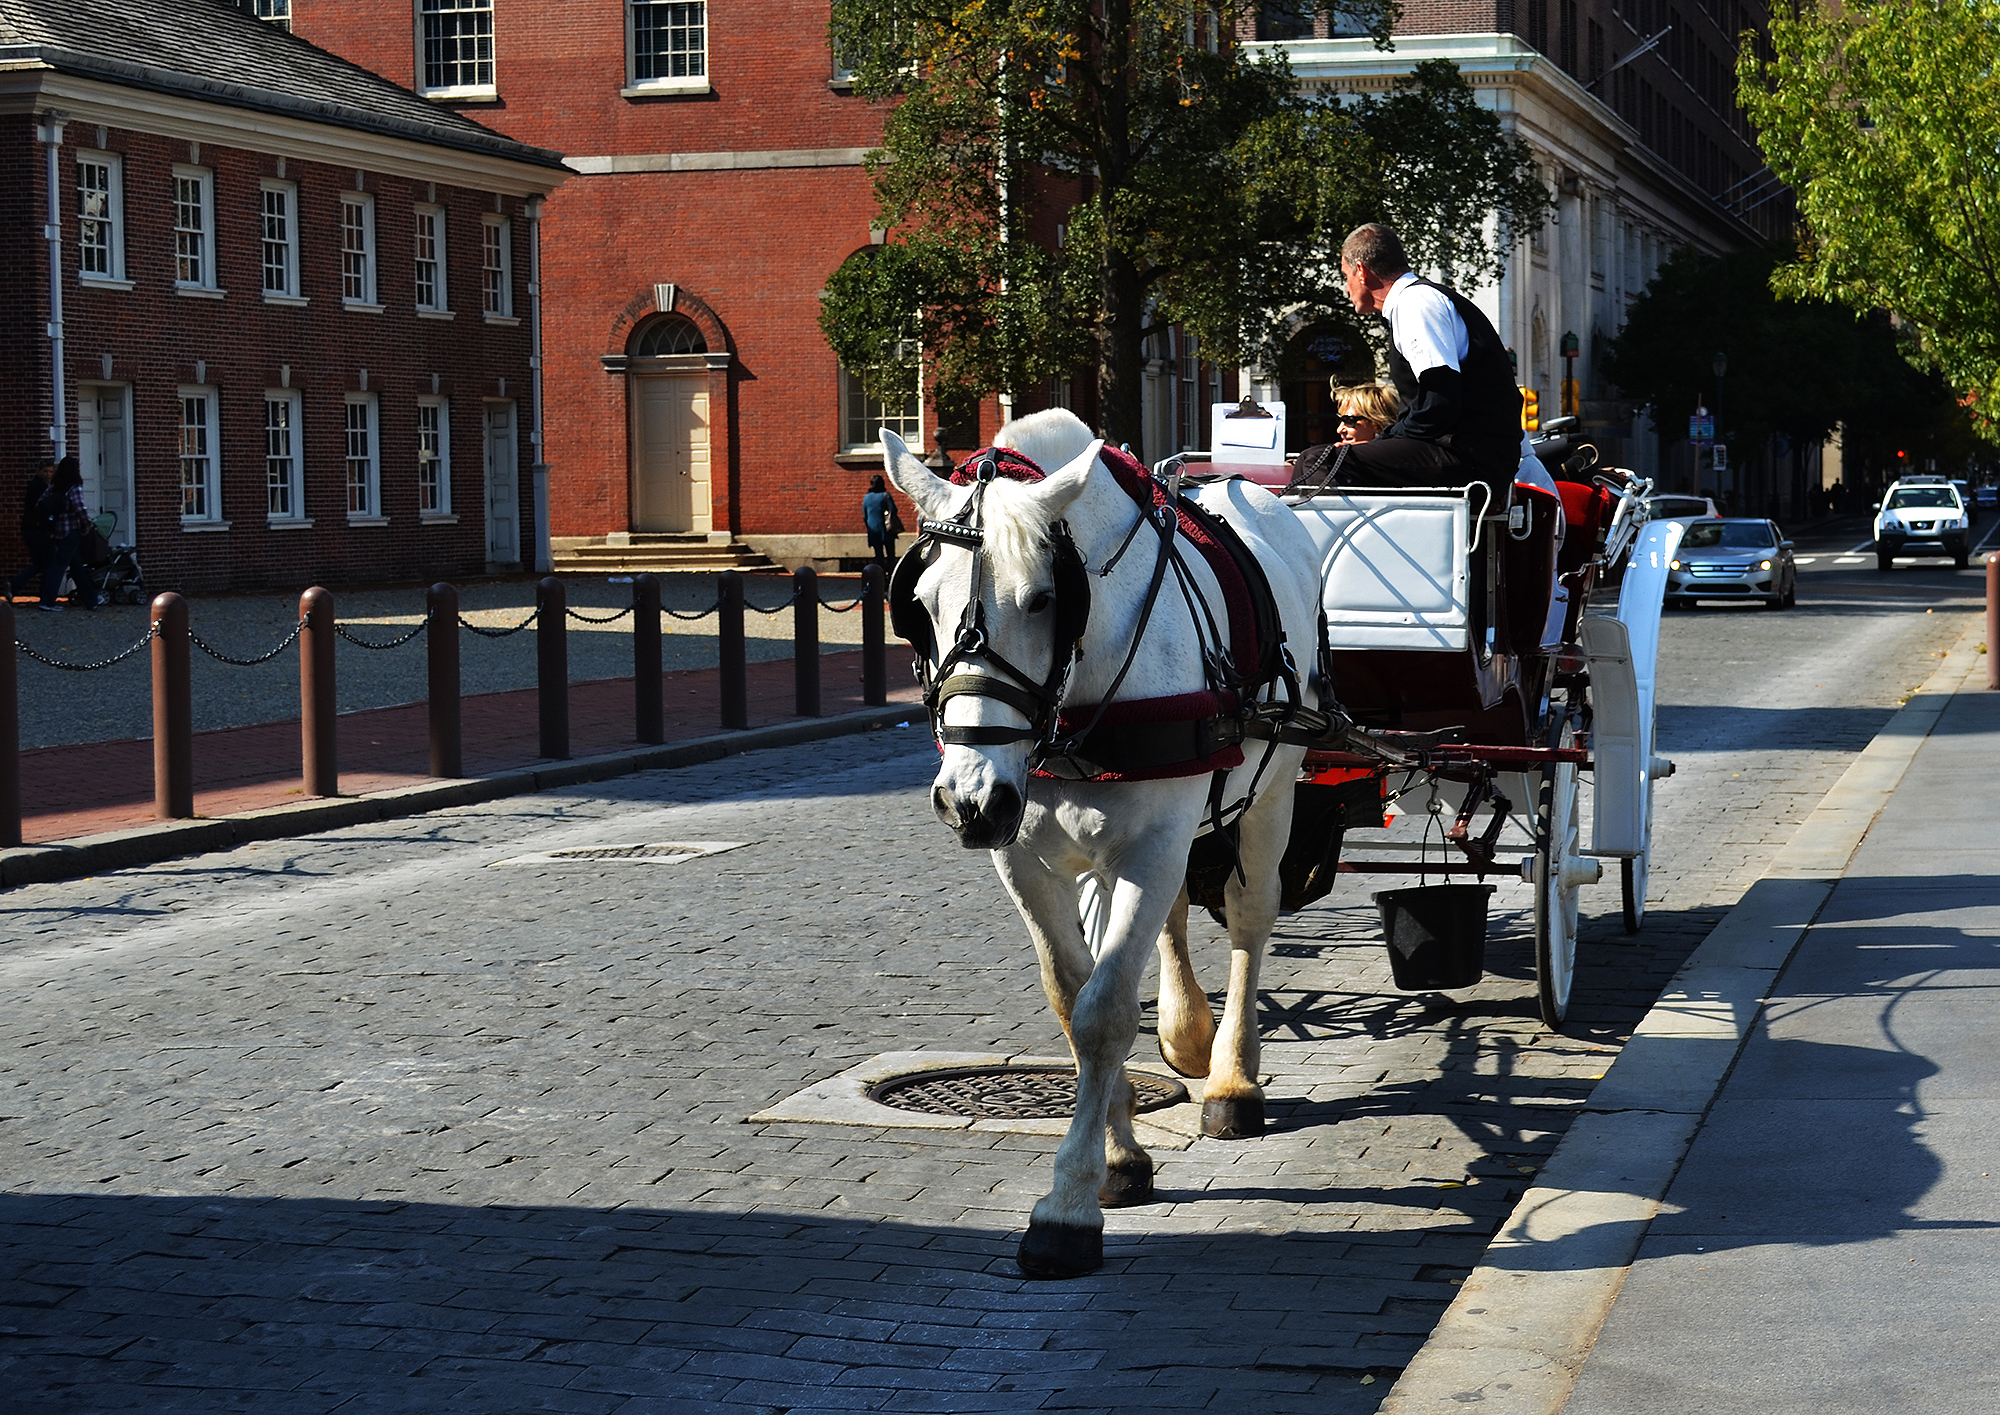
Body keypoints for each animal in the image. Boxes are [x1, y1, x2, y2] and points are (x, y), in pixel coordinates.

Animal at [880, 409, 1320, 1279]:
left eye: (1043, 598)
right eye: (918, 602)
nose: (969, 801)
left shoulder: (1151, 842)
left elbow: (1105, 1011)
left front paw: (1069, 1204)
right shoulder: (1023, 857)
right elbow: (1070, 993)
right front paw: (1119, 1154)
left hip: (1272, 792)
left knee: (1250, 920)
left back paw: (1231, 1078)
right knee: (1179, 913)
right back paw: (1188, 1033)